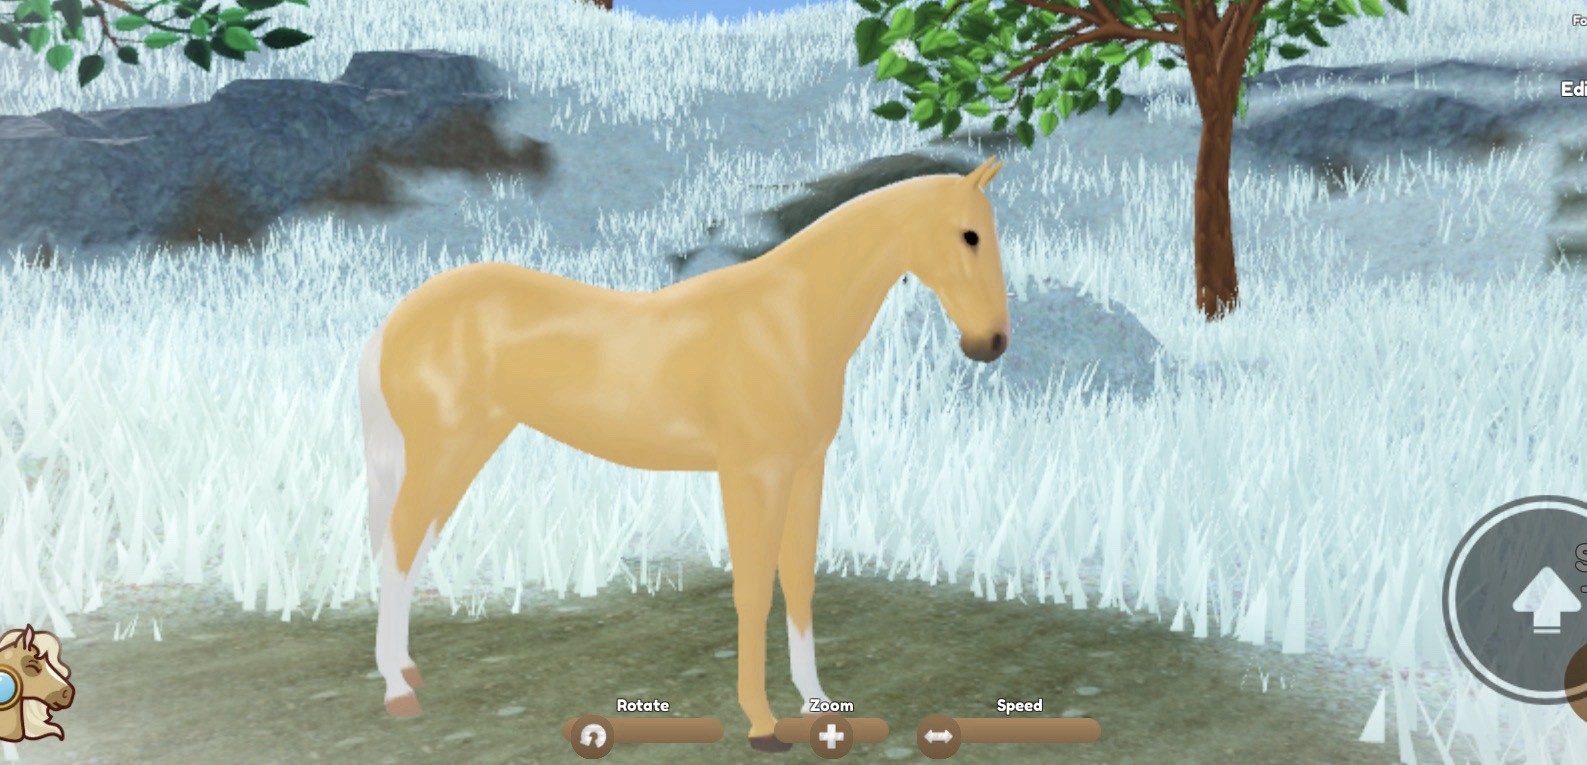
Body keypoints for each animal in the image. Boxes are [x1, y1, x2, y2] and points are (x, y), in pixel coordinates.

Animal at [360, 156, 1010, 750]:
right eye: (970, 235)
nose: (992, 343)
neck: (789, 320)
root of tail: (398, 319)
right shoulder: (753, 476)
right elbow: (753, 590)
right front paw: (763, 724)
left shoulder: (806, 471)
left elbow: (799, 583)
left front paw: (820, 705)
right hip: (446, 450)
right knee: (399, 546)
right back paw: (397, 691)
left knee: (411, 546)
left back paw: (408, 670)